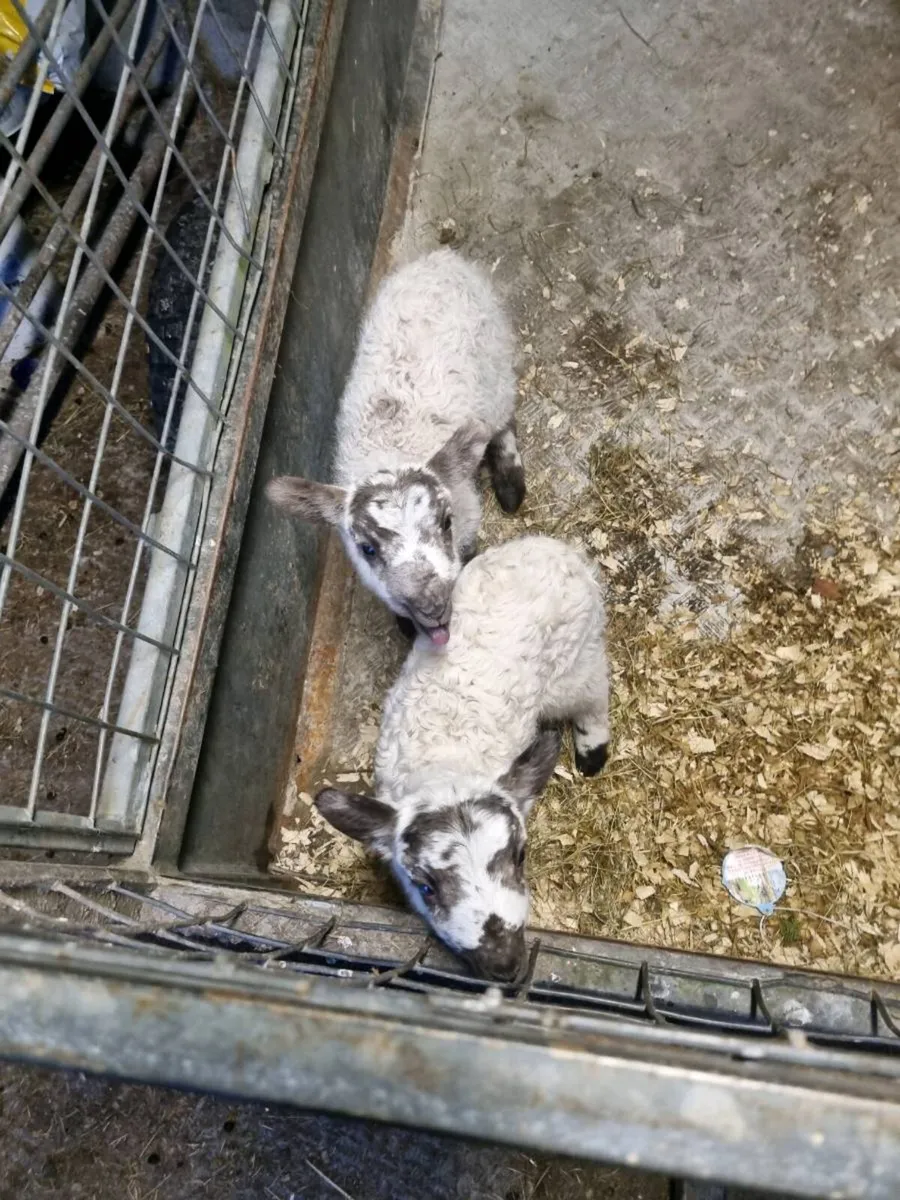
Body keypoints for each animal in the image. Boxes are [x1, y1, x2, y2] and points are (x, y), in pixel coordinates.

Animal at [266, 248, 524, 646]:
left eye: (446, 522)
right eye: (367, 548)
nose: (431, 606)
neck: (395, 450)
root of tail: (442, 259)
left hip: (496, 369)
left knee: (503, 420)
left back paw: (510, 485)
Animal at [315, 534, 610, 982]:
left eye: (521, 858)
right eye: (425, 887)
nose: (505, 965)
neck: (447, 764)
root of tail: (551, 547)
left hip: (577, 660)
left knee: (596, 693)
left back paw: (593, 751)